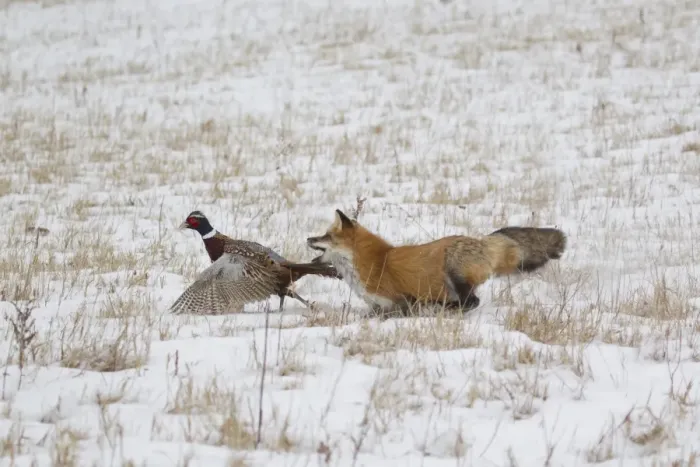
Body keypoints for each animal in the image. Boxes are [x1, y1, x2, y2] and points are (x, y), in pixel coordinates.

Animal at [306, 209, 567, 316]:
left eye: (326, 236)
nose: (308, 238)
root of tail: (482, 241)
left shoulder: (398, 300)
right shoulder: (378, 307)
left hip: (454, 269)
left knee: (471, 301)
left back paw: (442, 307)